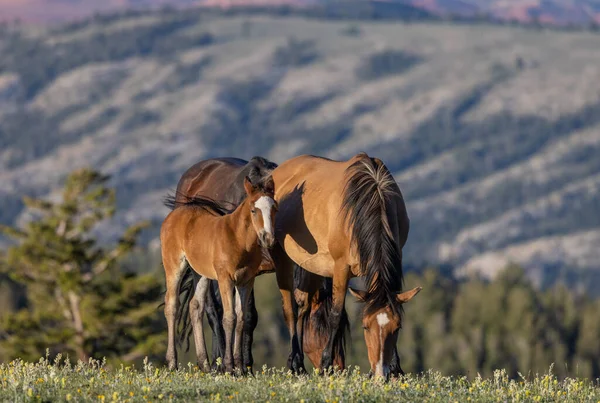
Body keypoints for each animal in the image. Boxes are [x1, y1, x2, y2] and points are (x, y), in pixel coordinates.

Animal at [274, 152, 422, 378]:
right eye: (365, 327)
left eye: (397, 328)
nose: (380, 373)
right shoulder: (341, 268)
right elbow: (335, 315)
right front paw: (326, 365)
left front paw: (396, 369)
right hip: (282, 256)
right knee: (290, 308)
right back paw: (295, 363)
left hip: (310, 265)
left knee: (304, 306)